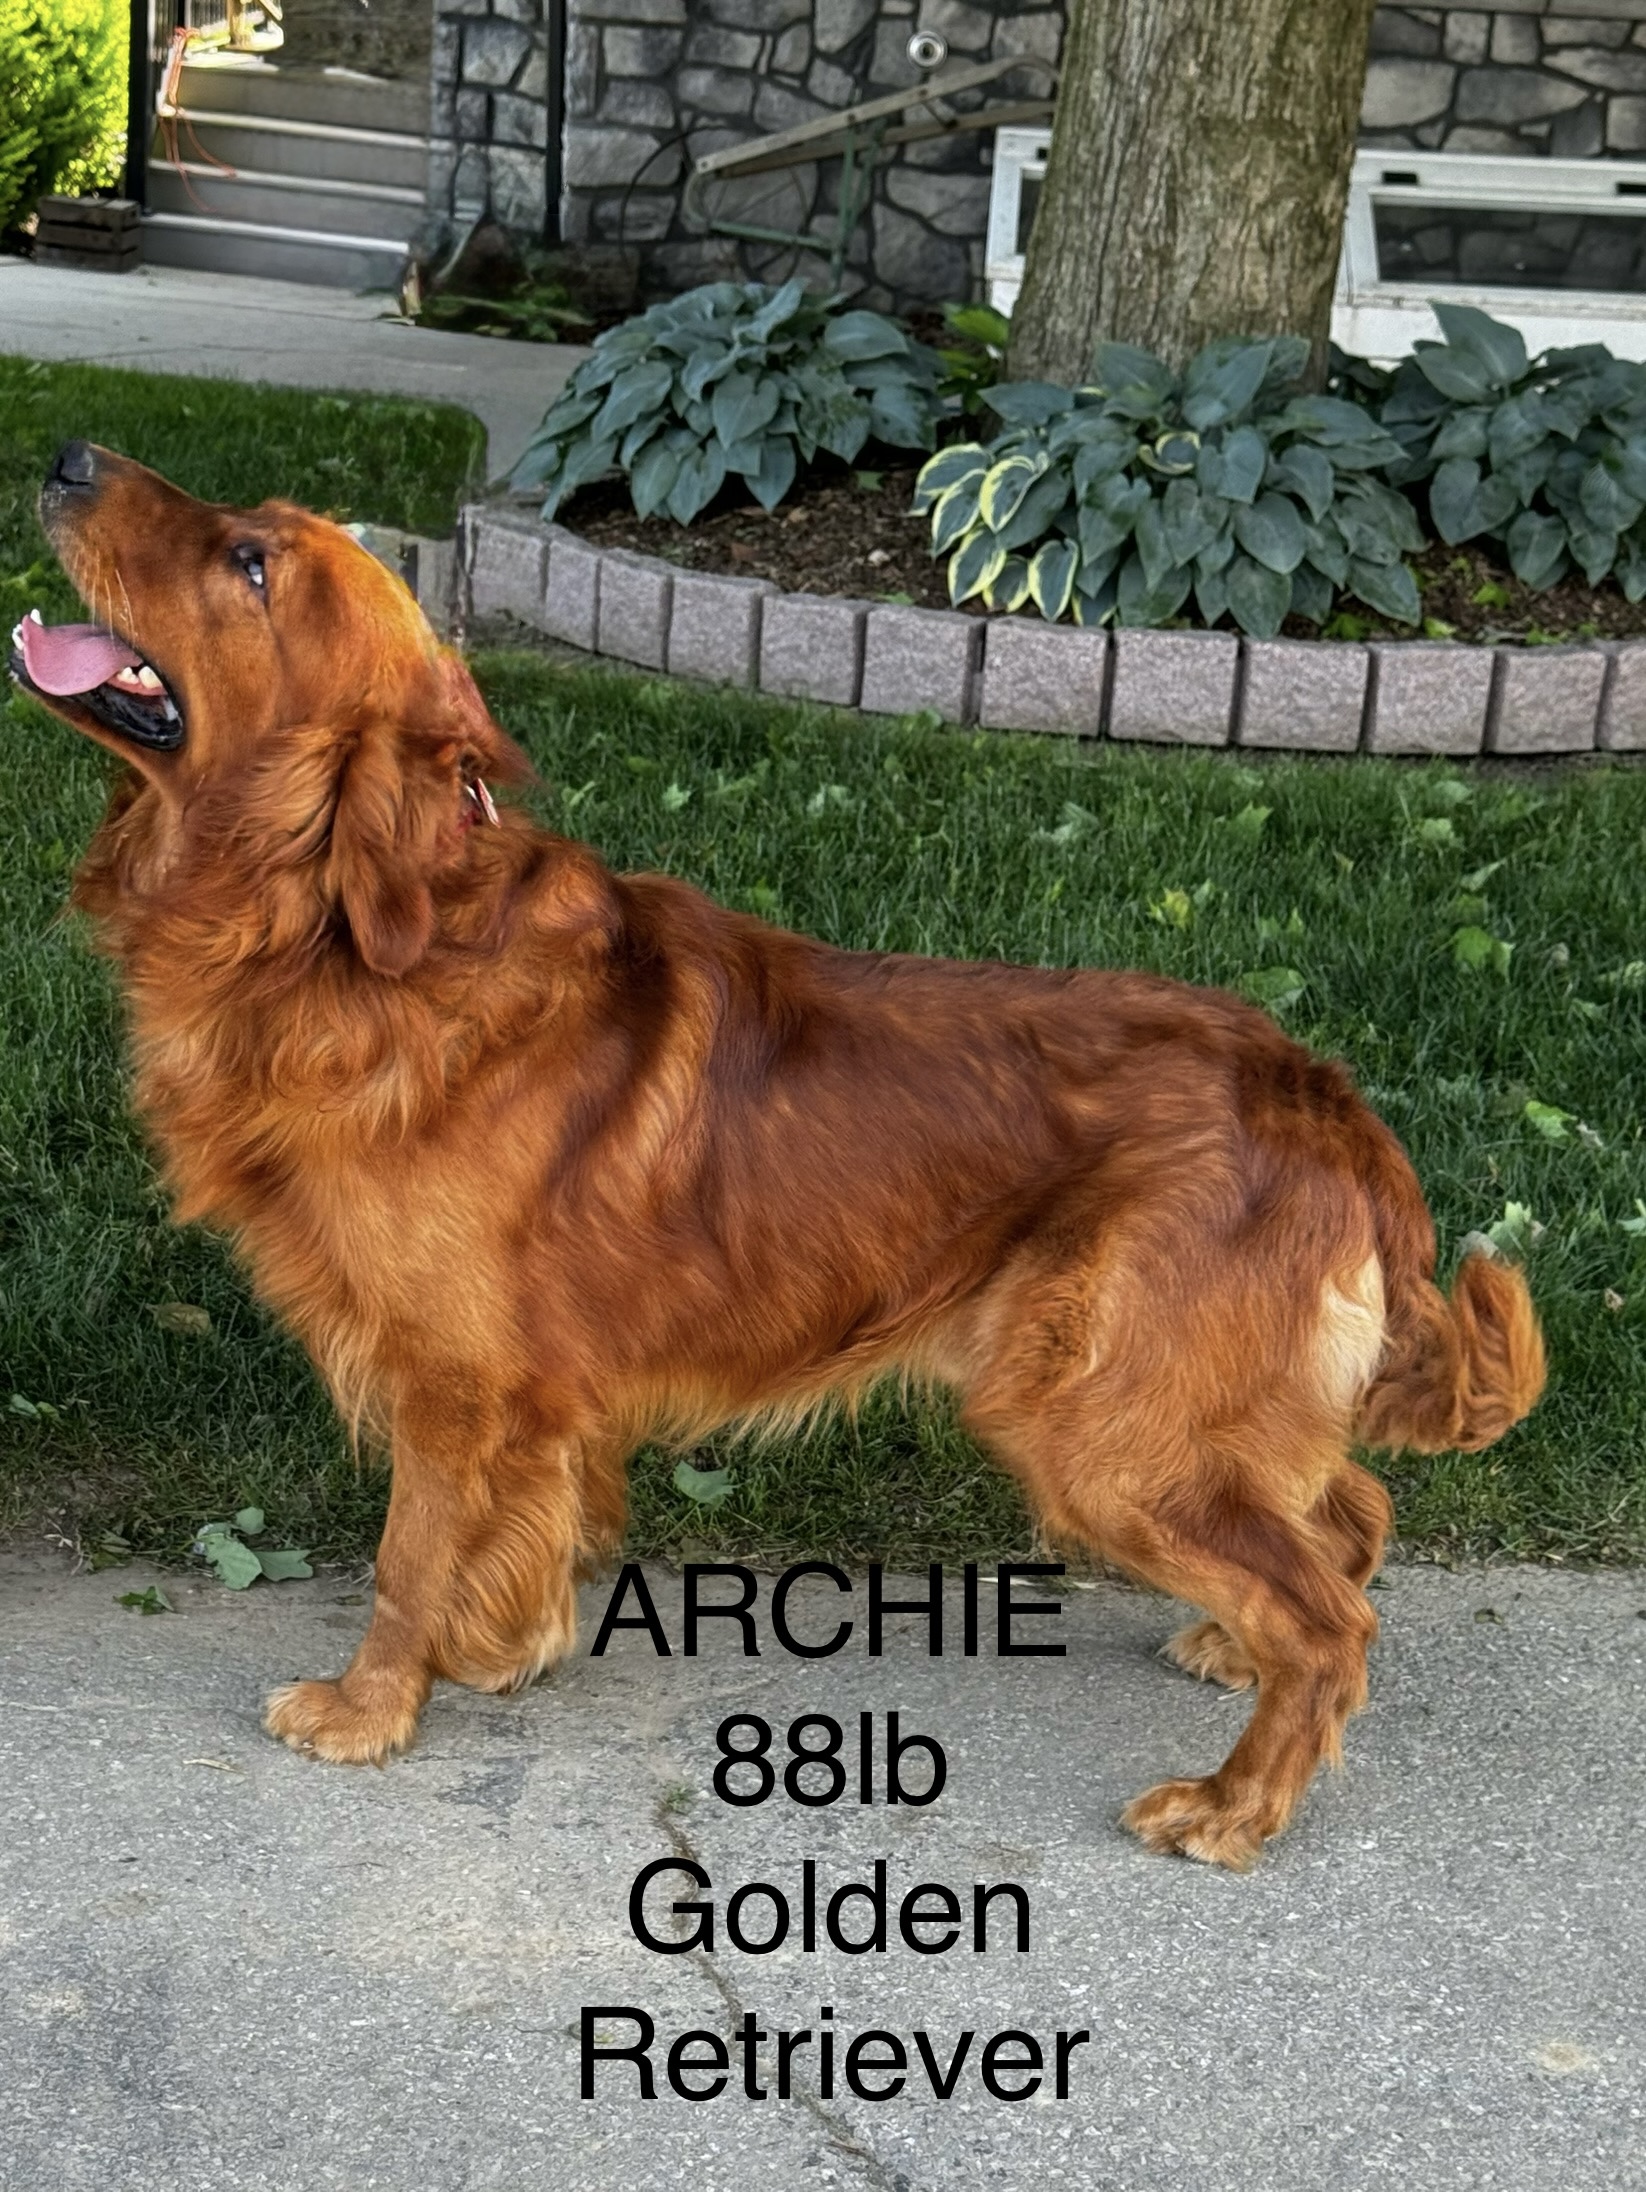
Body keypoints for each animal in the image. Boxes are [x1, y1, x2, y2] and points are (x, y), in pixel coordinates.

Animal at [13, 442, 1545, 1869]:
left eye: (252, 562)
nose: (71, 457)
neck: (343, 931)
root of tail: (1326, 1099)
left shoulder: (455, 1379)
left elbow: (404, 1556)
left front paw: (371, 1705)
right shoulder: (543, 1394)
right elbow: (529, 1528)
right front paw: (504, 1644)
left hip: (1098, 1424)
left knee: (1327, 1609)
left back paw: (1236, 1800)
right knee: (1345, 1503)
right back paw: (1235, 1654)